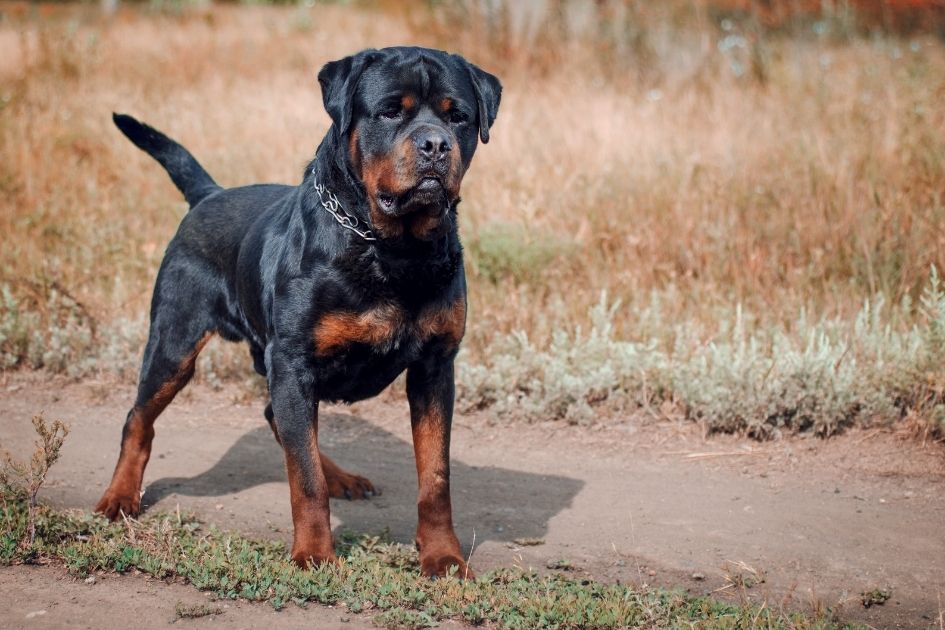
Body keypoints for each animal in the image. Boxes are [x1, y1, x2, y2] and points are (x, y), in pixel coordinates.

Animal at [96, 47, 502, 580]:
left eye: (458, 117)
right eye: (391, 111)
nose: (435, 144)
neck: (390, 247)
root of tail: (210, 194)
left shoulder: (435, 366)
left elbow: (435, 477)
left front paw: (444, 557)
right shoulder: (292, 362)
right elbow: (304, 479)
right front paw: (314, 553)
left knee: (282, 421)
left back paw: (342, 477)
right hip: (175, 342)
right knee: (139, 419)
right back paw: (120, 495)